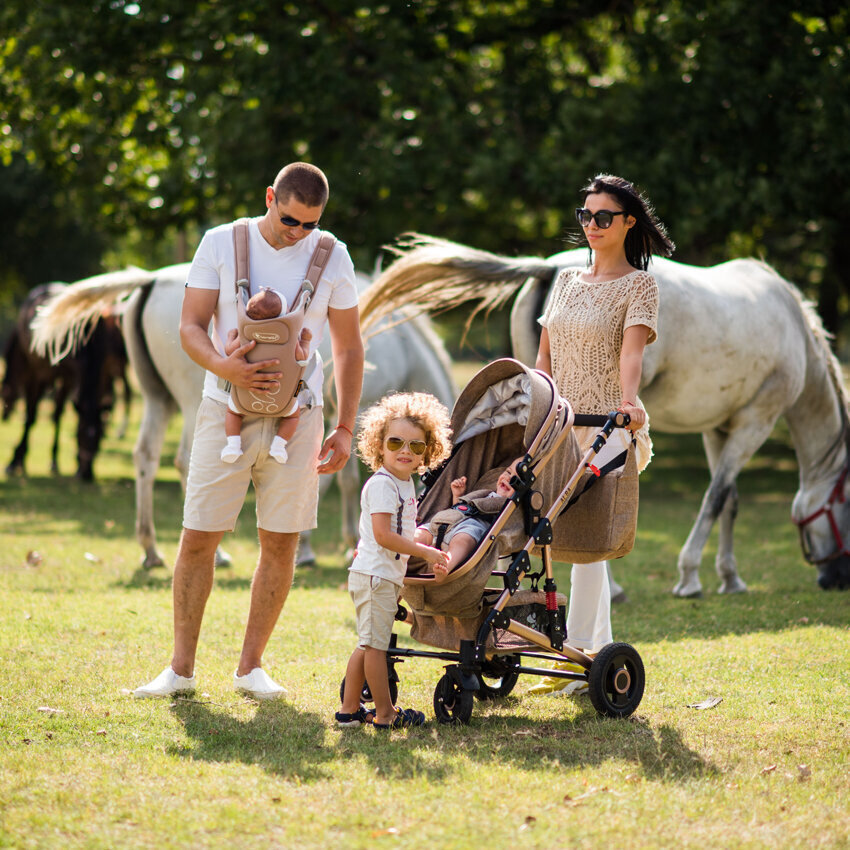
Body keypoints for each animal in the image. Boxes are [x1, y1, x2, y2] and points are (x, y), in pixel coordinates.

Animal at [0, 284, 130, 476]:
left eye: (99, 438)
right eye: (81, 434)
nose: (87, 474)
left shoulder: (70, 378)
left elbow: (57, 415)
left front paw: (54, 460)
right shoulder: (41, 375)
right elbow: (31, 416)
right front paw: (16, 460)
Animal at [31, 264, 458, 568]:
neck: (401, 343)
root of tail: (152, 278)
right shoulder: (356, 414)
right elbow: (343, 481)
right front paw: (321, 547)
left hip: (156, 399)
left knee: (146, 458)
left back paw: (151, 550)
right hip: (191, 401)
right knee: (184, 460)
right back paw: (216, 553)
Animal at [362, 235, 848, 592]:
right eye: (846, 507)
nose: (835, 580)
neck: (794, 331)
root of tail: (547, 266)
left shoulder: (720, 426)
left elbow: (728, 499)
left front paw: (729, 578)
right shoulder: (757, 419)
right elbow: (715, 499)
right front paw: (690, 577)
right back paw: (608, 587)